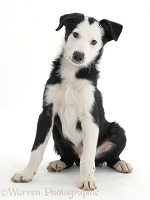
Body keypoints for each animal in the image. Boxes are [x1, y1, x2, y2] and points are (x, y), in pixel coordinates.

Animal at [10, 12, 132, 191]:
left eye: (94, 42)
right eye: (75, 34)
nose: (78, 55)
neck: (72, 75)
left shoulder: (90, 118)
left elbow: (88, 155)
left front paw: (87, 179)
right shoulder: (47, 113)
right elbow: (37, 148)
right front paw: (26, 173)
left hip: (118, 131)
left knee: (105, 158)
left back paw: (121, 164)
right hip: (56, 132)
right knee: (69, 158)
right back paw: (59, 163)